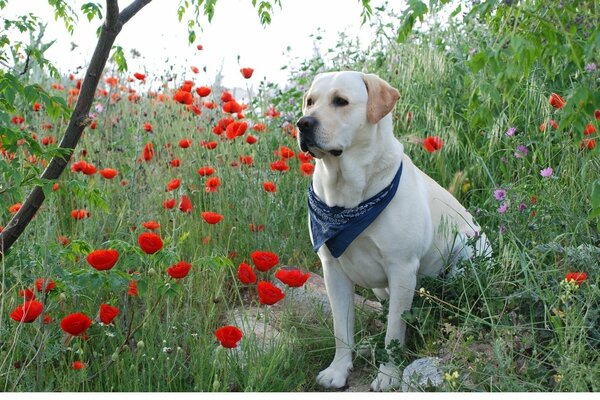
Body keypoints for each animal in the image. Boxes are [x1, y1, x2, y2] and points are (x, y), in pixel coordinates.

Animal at [298, 71, 490, 390]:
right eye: (310, 101)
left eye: (341, 101)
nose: (303, 123)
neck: (349, 198)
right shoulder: (332, 270)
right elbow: (341, 328)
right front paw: (338, 370)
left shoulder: (401, 269)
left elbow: (394, 334)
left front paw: (388, 375)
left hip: (463, 262)